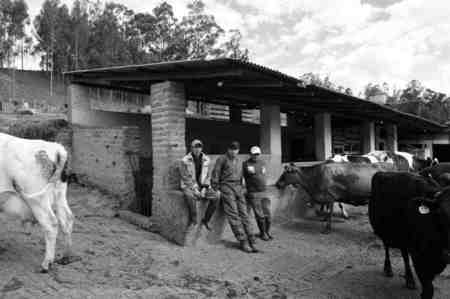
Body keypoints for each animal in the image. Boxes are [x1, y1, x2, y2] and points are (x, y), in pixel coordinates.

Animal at [0, 132, 77, 274]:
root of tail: (56, 148)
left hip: (38, 200)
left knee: (51, 224)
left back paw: (46, 264)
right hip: (59, 195)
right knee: (67, 219)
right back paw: (66, 257)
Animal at [370, 171, 450, 299]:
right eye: (440, 214)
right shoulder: (418, 256)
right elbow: (428, 289)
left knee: (404, 255)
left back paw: (409, 279)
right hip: (384, 231)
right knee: (387, 247)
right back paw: (388, 269)